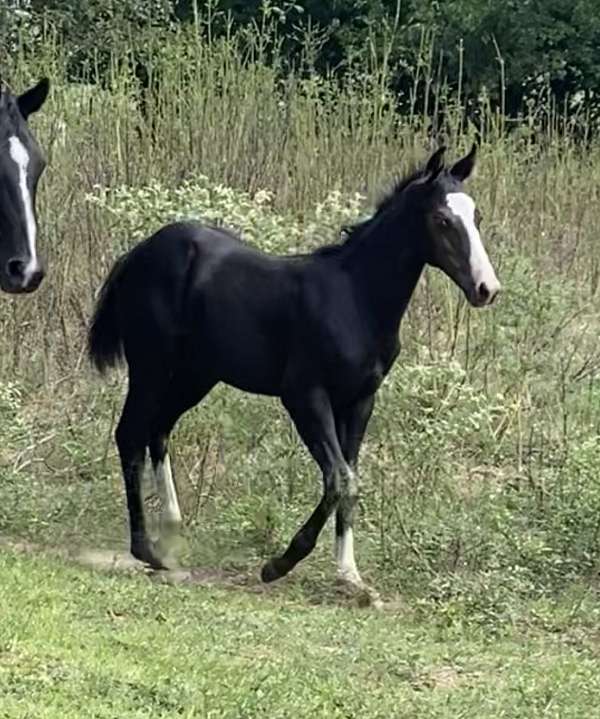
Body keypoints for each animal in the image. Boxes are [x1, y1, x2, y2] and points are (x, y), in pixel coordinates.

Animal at [88, 145, 500, 599]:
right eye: (442, 219)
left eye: (476, 216)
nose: (487, 289)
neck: (355, 298)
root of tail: (139, 253)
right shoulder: (305, 396)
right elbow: (339, 479)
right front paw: (279, 564)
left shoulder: (361, 401)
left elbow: (352, 480)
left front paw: (350, 576)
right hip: (151, 366)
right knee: (130, 434)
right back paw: (147, 549)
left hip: (197, 374)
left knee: (158, 430)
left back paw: (172, 534)